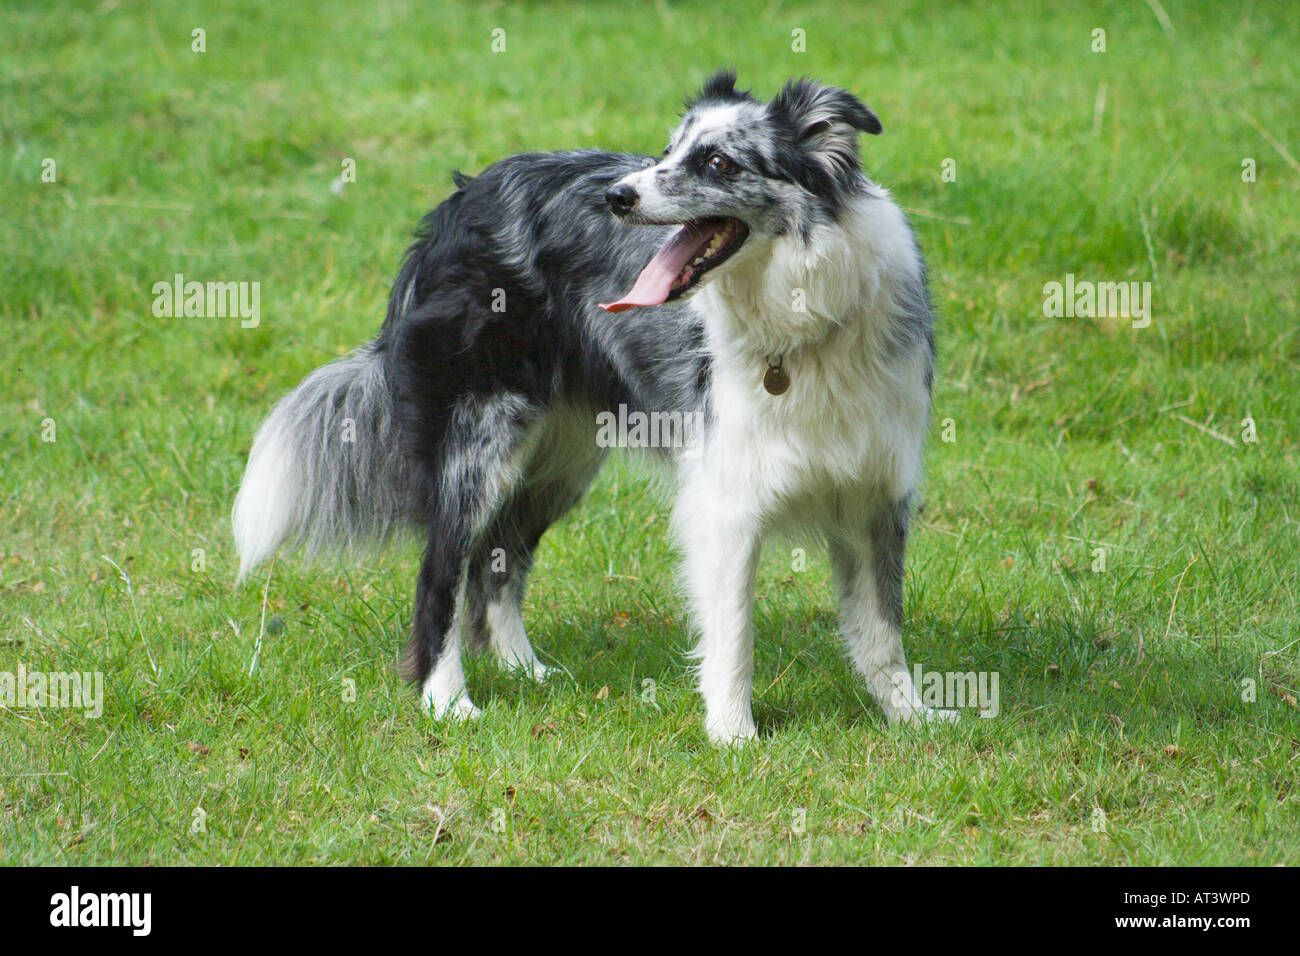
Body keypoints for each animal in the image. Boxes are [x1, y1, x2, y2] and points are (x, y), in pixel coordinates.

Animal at [233, 72, 946, 749]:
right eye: (668, 151)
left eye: (717, 162)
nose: (618, 197)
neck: (805, 314)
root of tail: (460, 201)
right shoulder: (727, 501)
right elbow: (734, 633)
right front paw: (734, 735)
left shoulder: (876, 495)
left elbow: (883, 632)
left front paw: (911, 720)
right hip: (481, 439)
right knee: (441, 570)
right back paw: (447, 701)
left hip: (563, 456)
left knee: (496, 560)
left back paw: (526, 671)